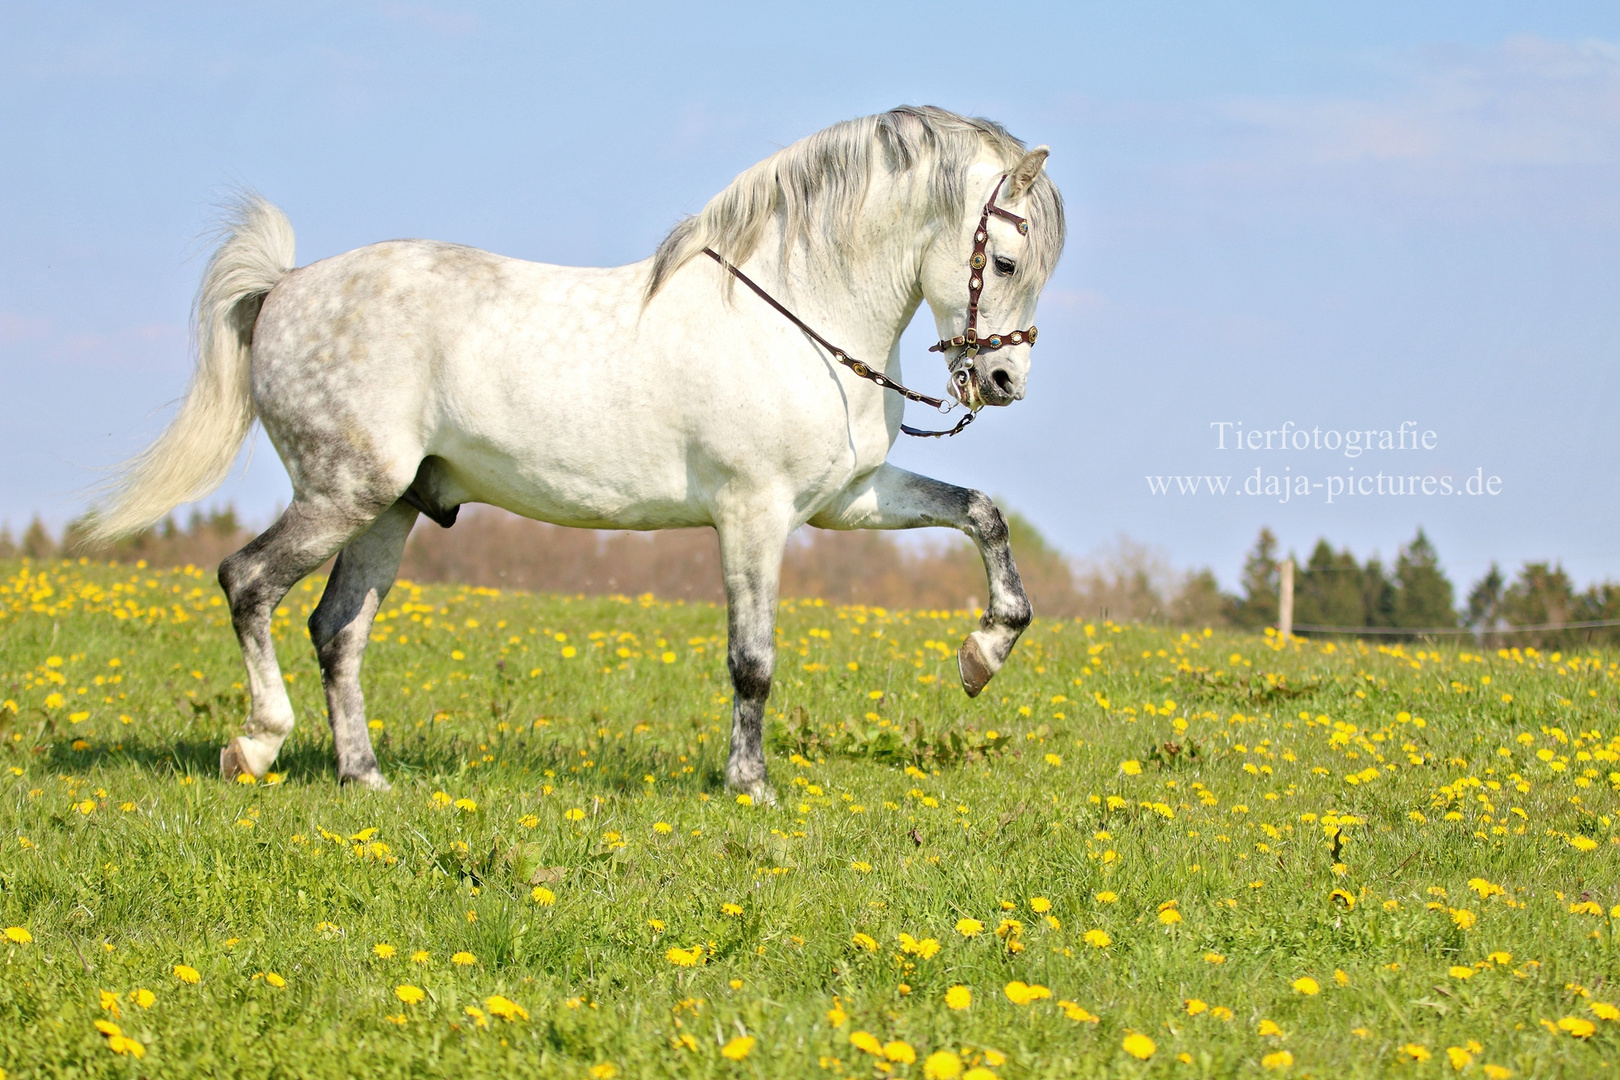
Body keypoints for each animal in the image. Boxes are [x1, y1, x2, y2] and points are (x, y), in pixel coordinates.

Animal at [94, 107, 1069, 803]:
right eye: (1005, 260)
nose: (1004, 379)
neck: (795, 315)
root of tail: (286, 288)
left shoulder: (845, 500)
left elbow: (981, 514)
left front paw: (985, 652)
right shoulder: (753, 514)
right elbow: (752, 662)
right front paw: (750, 788)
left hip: (389, 510)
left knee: (337, 630)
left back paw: (364, 777)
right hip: (343, 494)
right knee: (248, 583)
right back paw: (254, 745)